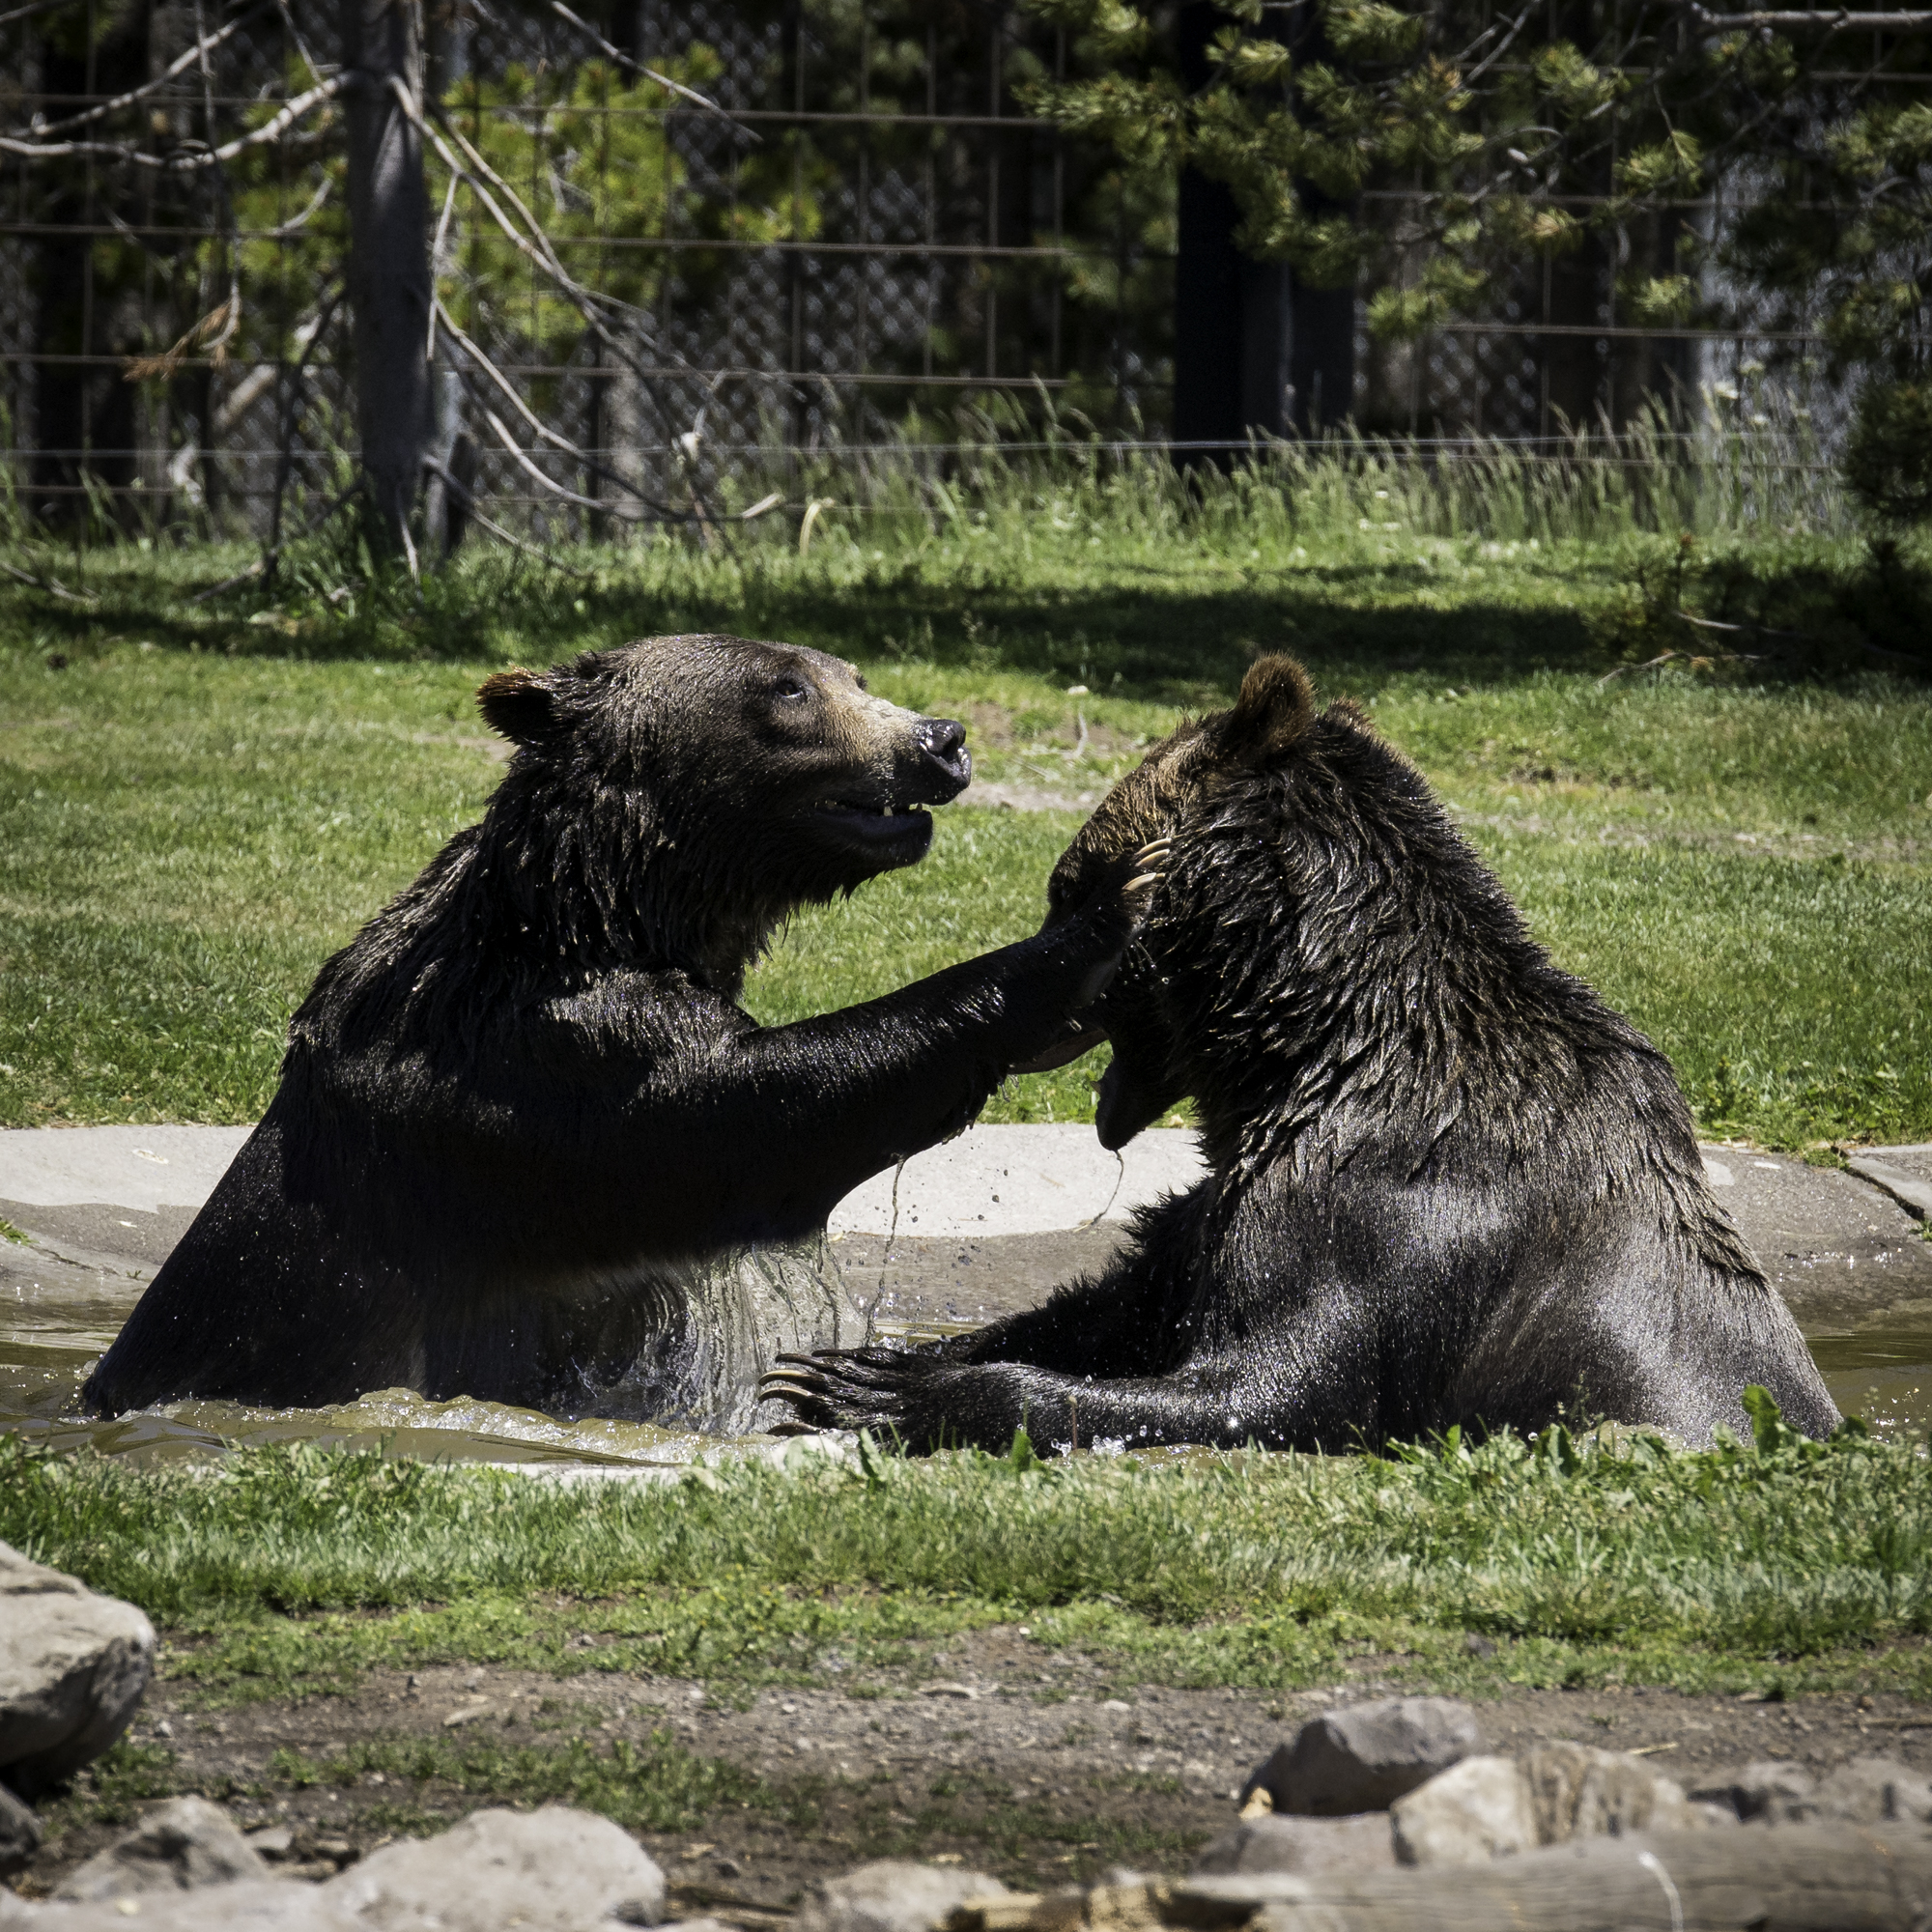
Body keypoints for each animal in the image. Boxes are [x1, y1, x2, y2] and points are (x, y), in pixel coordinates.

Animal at [82, 633, 1160, 1424]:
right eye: (787, 688)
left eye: (855, 675)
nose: (939, 739)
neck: (609, 910)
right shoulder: (536, 1077)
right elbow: (751, 1114)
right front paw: (1096, 922)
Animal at [763, 654, 1841, 1452]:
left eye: (1063, 886)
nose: (1035, 1003)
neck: (1300, 1052)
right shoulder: (1213, 1215)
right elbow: (1120, 1303)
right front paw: (845, 1364)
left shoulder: (1383, 1215)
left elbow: (1278, 1381)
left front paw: (887, 1389)